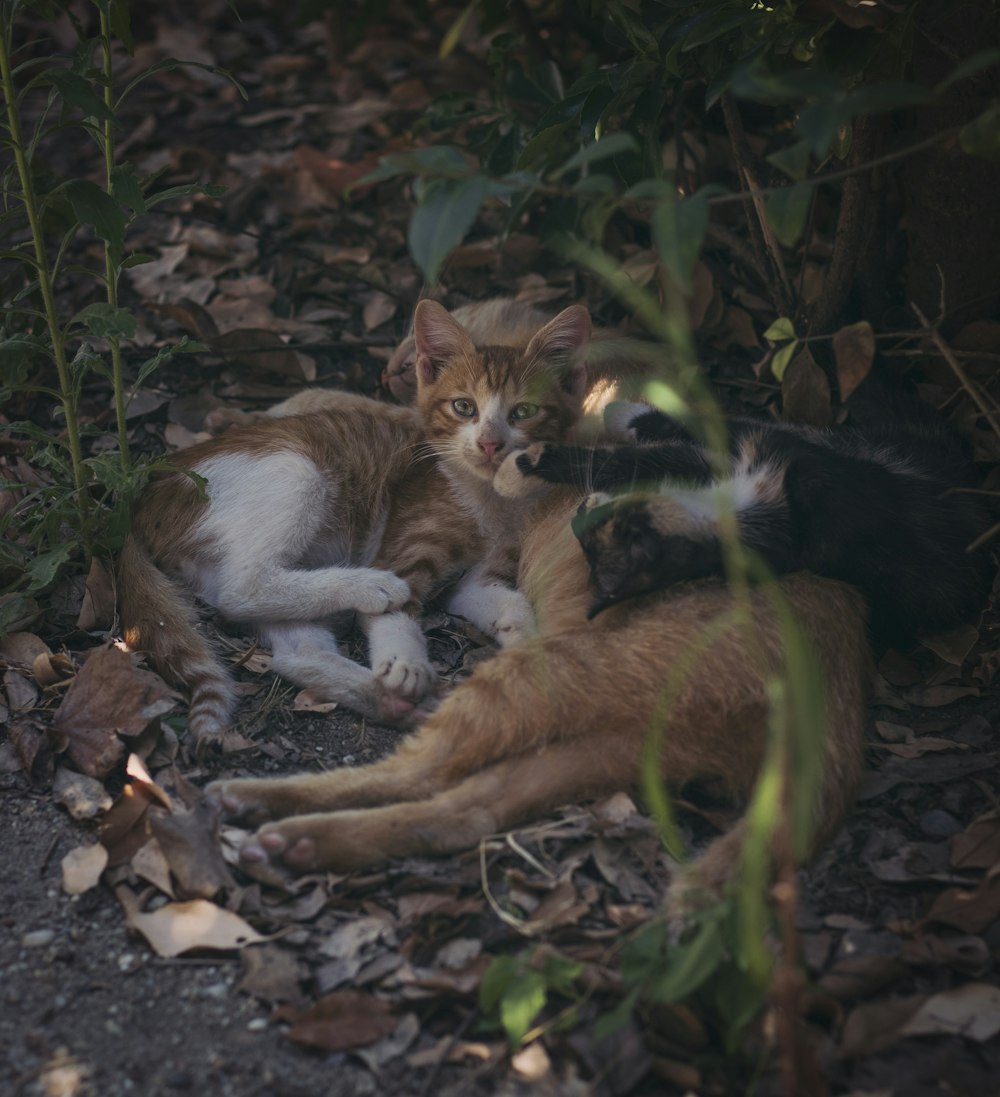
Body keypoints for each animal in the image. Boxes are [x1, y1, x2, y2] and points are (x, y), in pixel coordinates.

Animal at [120, 300, 587, 745]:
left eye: (523, 411)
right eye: (463, 406)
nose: (490, 444)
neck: (488, 499)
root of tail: (149, 486)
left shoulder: (479, 575)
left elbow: (504, 598)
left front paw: (525, 640)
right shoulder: (404, 542)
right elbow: (398, 614)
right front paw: (406, 661)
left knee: (288, 645)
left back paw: (391, 702)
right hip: (298, 469)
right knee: (242, 587)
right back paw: (371, 588)